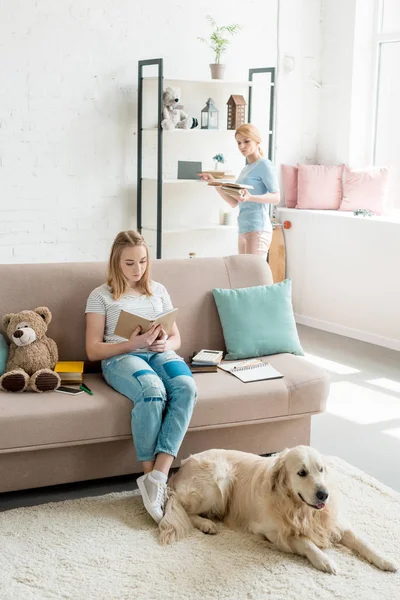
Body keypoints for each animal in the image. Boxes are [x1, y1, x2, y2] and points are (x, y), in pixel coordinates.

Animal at [159, 448, 396, 576]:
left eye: (321, 469)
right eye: (302, 473)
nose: (324, 495)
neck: (298, 507)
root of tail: (180, 470)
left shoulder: (333, 523)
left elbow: (361, 541)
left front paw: (385, 560)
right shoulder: (272, 532)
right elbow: (304, 542)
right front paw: (325, 560)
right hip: (219, 479)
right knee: (183, 507)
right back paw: (206, 524)